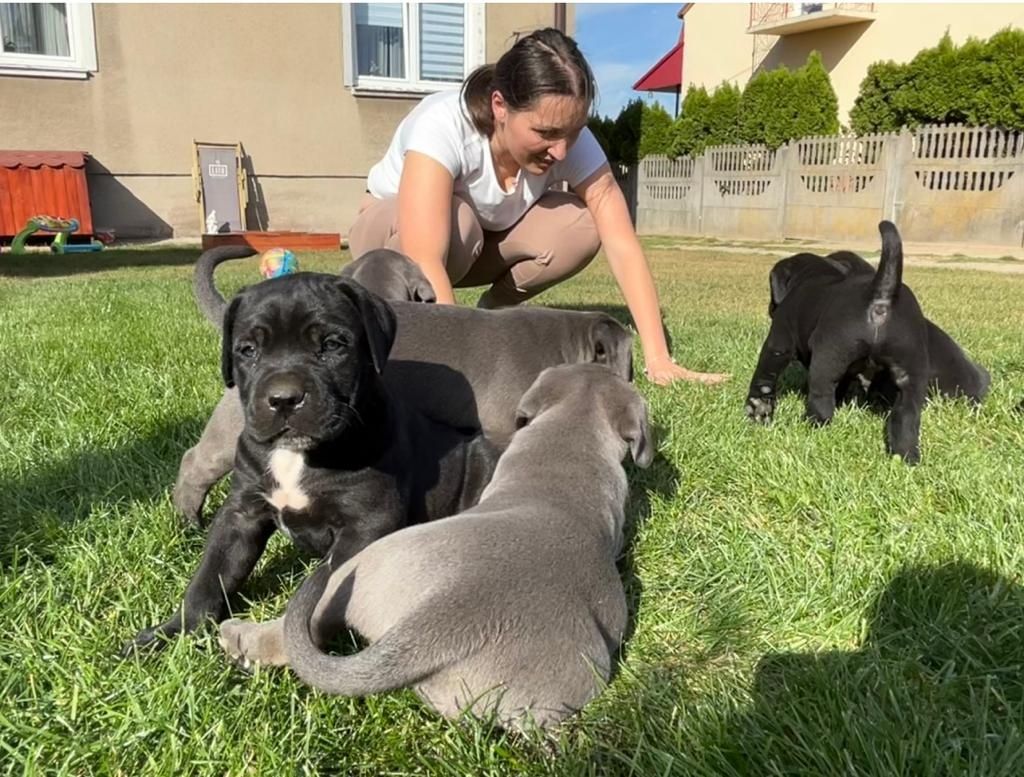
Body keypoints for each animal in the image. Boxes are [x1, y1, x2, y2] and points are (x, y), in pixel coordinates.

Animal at [123, 274, 495, 651]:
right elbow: (211, 575)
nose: (284, 398)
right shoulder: (241, 513)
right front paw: (172, 632)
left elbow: (321, 589)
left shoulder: (365, 524)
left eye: (332, 345)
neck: (296, 457)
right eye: (248, 350)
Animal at [749, 219, 987, 462]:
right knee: (906, 417)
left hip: (826, 360)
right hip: (911, 371)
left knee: (821, 400)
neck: (817, 275)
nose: (770, 308)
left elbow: (764, 377)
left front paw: (757, 409)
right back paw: (906, 457)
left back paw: (811, 426)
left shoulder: (779, 342)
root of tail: (881, 297)